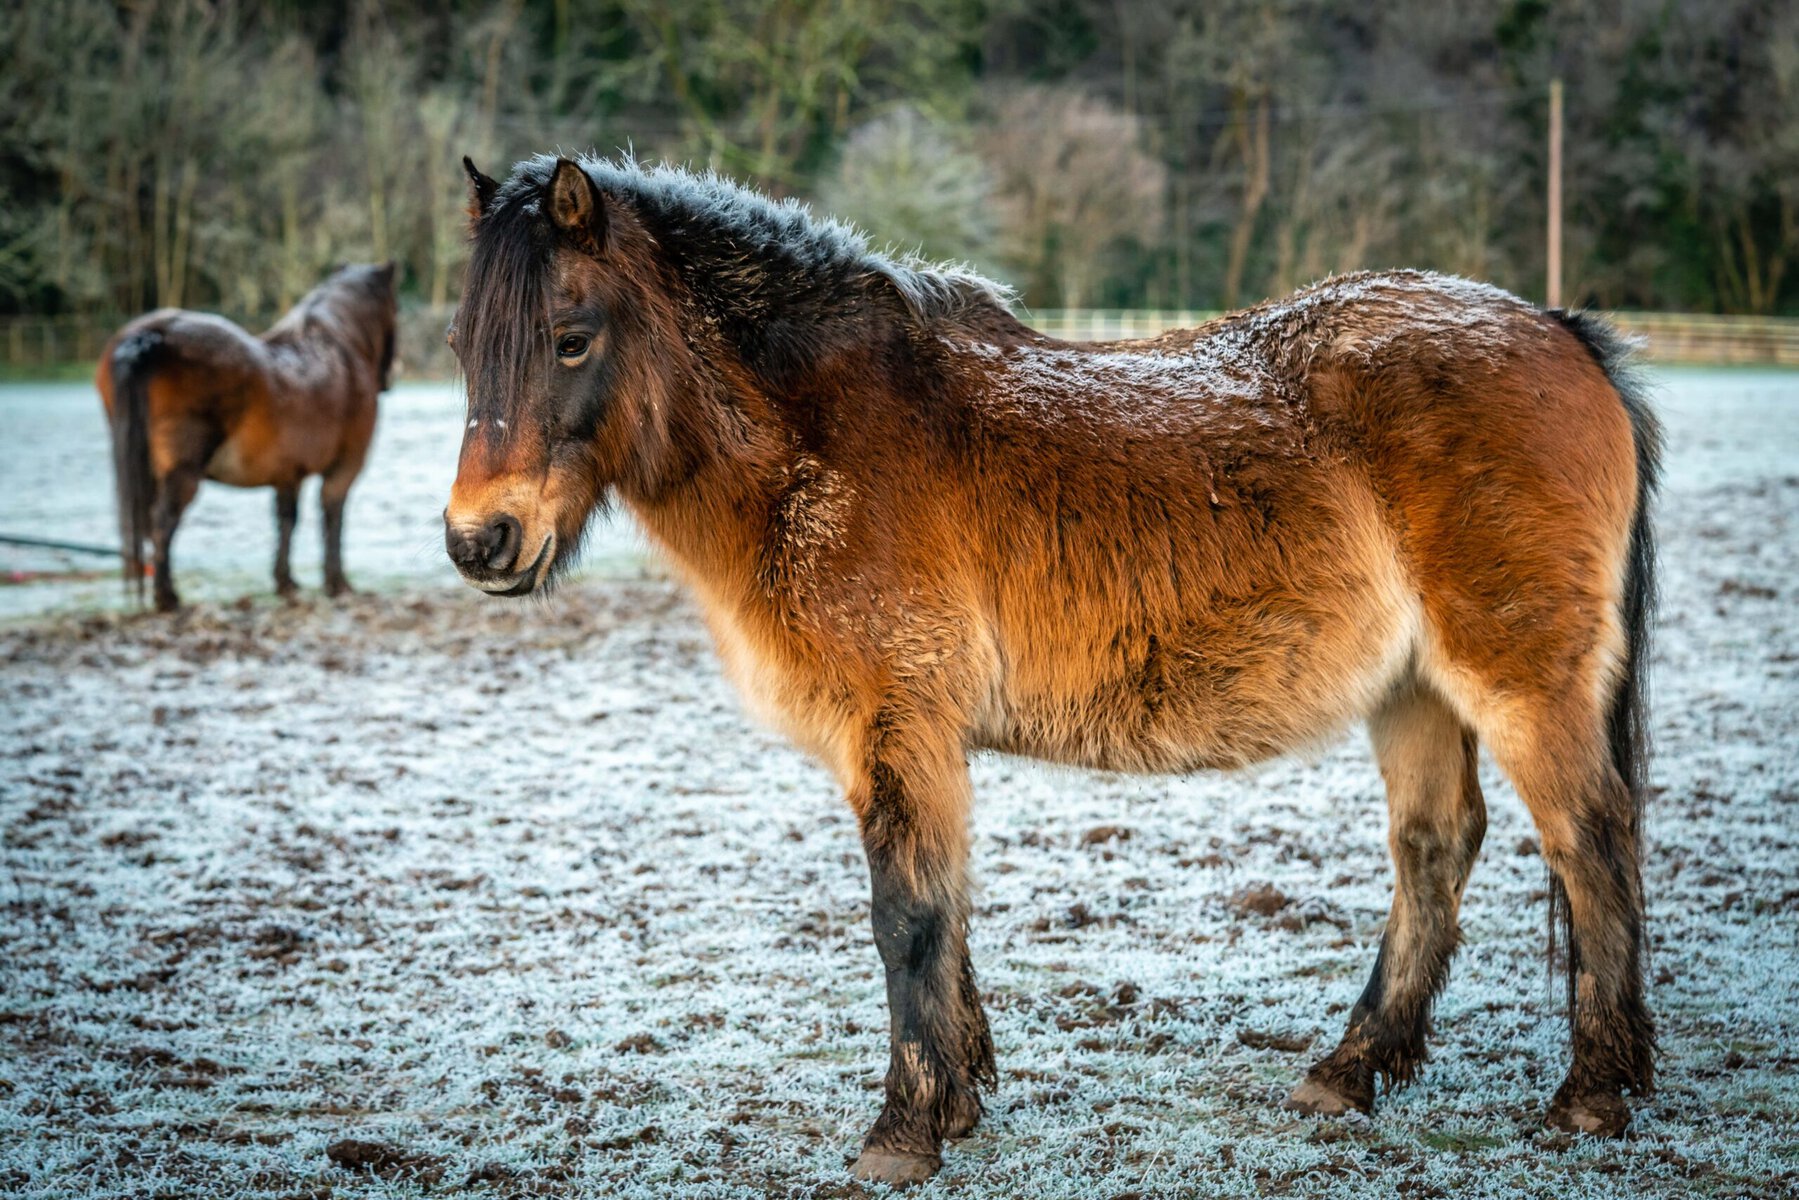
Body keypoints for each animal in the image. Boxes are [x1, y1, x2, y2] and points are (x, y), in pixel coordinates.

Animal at [97, 263, 399, 611]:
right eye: (395, 307)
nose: (390, 376)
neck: (337, 349)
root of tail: (151, 337)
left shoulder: (287, 474)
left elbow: (286, 521)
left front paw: (286, 582)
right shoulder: (343, 469)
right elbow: (332, 520)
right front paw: (337, 584)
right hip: (181, 473)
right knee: (162, 523)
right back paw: (167, 597)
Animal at [444, 155, 1660, 1186]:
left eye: (568, 337)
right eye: (461, 346)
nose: (479, 540)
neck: (819, 439)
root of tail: (1556, 330)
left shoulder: (897, 723)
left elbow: (906, 918)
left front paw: (901, 1135)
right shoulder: (917, 741)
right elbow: (946, 908)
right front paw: (958, 1102)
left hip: (1518, 682)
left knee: (1588, 841)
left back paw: (1589, 1098)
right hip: (1411, 692)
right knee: (1432, 849)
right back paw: (1346, 1072)